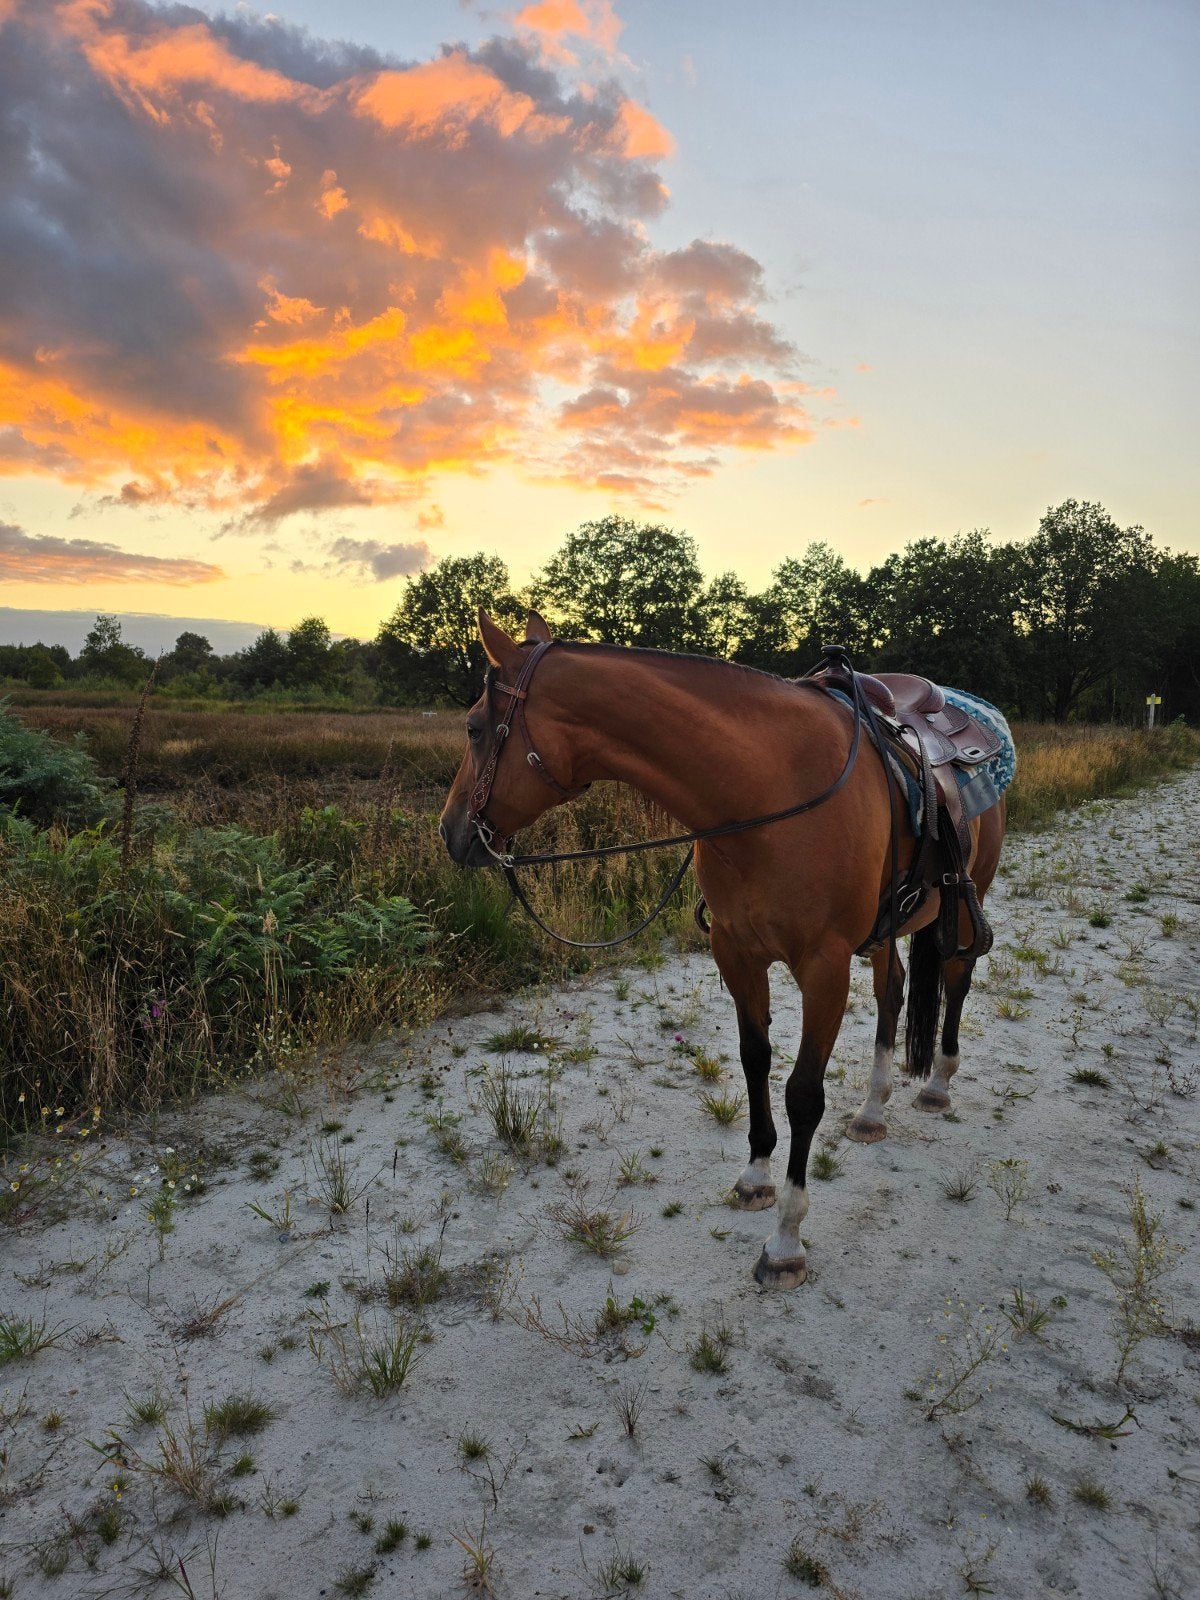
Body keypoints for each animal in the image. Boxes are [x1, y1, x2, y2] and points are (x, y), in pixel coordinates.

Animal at [439, 609, 1008, 1288]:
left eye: (474, 728)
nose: (450, 832)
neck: (768, 788)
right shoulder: (737, 953)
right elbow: (754, 1059)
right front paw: (756, 1176)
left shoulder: (823, 967)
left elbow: (803, 1094)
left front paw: (786, 1240)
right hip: (884, 932)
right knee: (893, 991)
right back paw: (873, 1110)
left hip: (966, 900)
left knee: (955, 977)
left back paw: (938, 1084)